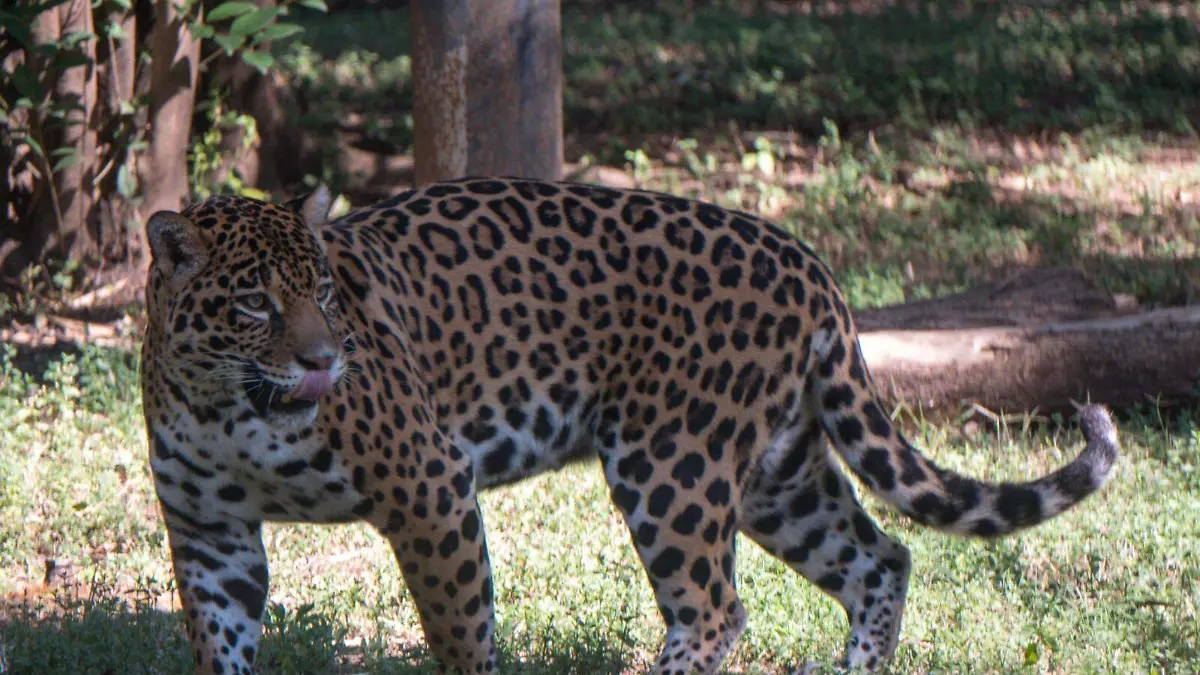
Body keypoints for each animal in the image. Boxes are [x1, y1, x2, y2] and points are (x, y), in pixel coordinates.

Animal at [140, 176, 1120, 675]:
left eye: (325, 292)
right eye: (256, 304)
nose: (323, 360)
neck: (227, 402)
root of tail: (808, 261)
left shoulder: (432, 488)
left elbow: (461, 631)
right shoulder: (211, 535)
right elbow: (219, 644)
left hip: (673, 461)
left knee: (717, 610)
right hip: (778, 473)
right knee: (881, 558)